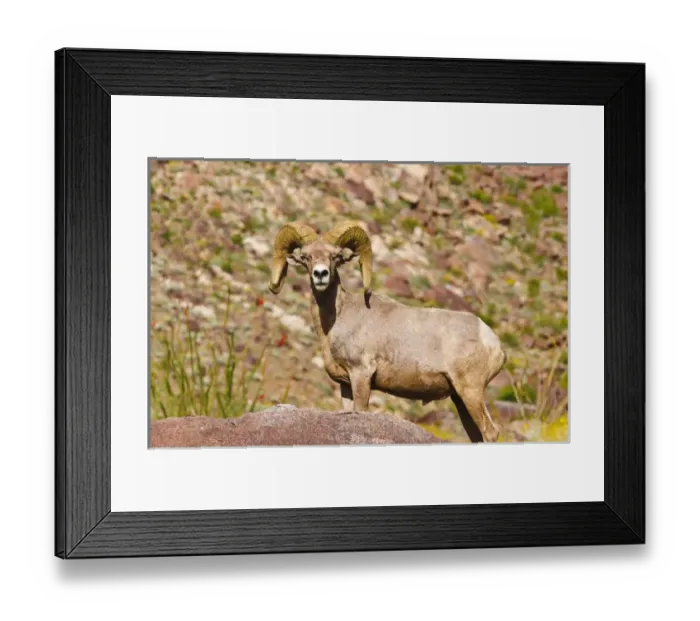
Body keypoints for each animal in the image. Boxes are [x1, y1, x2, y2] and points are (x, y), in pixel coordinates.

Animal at [268, 221, 506, 442]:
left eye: (335, 257)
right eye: (306, 257)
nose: (320, 274)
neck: (338, 319)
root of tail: (493, 342)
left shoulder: (361, 374)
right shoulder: (345, 384)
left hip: (470, 391)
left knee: (490, 432)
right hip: (460, 398)